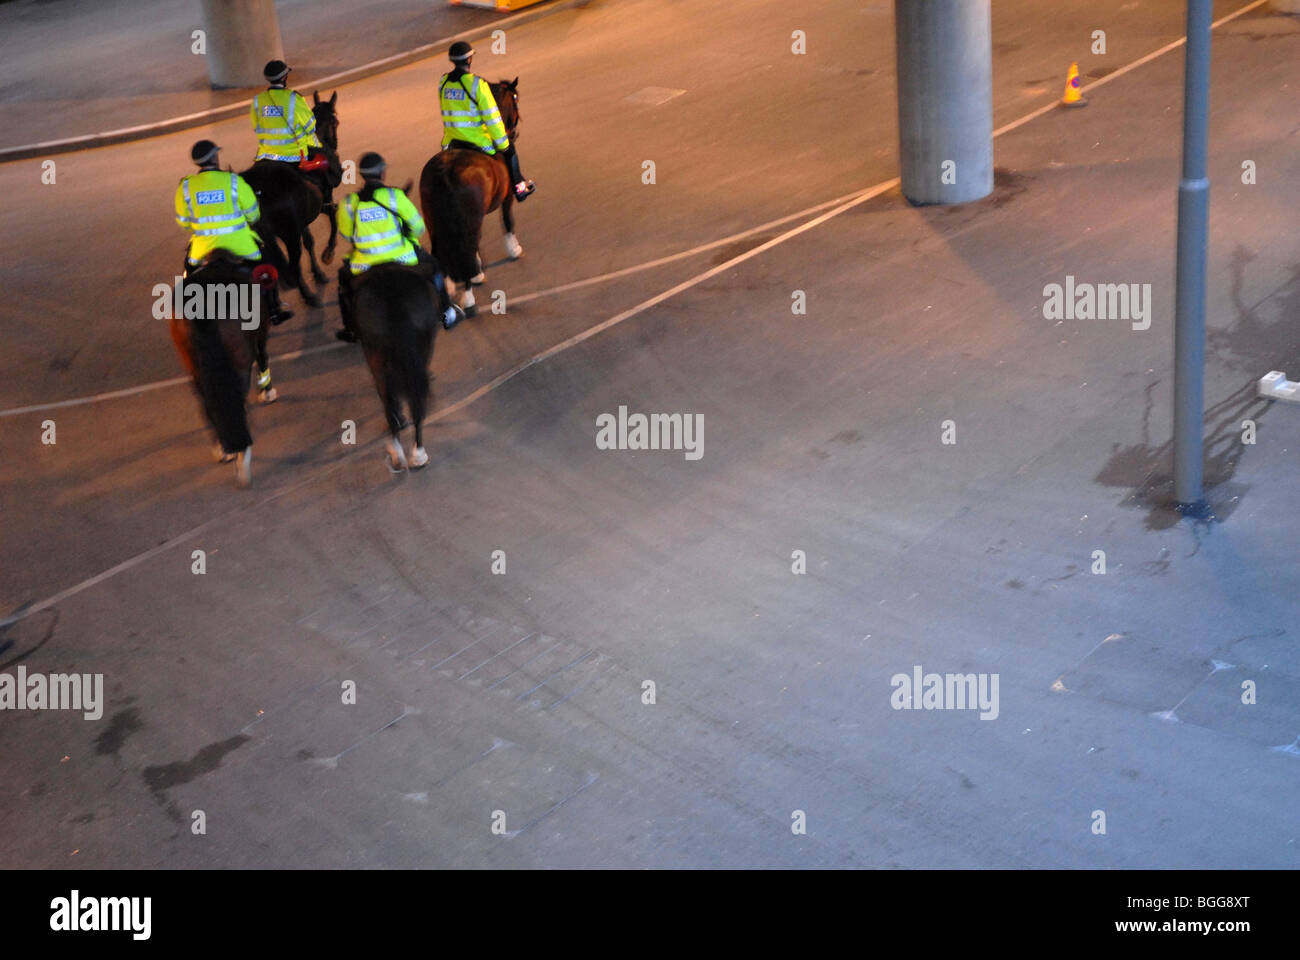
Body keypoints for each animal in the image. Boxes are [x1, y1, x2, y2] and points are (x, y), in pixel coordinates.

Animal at [413, 78, 520, 316]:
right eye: (516, 98)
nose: (513, 133)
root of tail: (446, 170)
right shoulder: (507, 197)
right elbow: (507, 221)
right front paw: (514, 249)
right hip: (468, 219)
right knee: (466, 249)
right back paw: (469, 298)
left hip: (434, 220)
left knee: (442, 252)